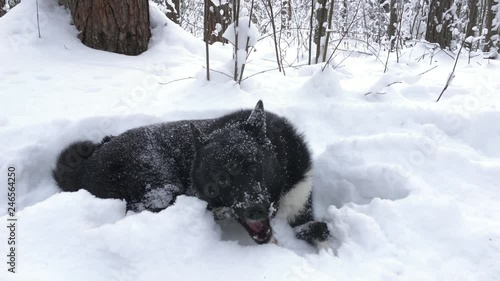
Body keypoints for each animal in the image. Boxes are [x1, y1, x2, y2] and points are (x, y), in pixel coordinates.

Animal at [52, 101, 330, 245]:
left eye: (254, 167)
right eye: (221, 179)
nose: (255, 210)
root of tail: (88, 163)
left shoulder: (299, 201)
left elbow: (316, 228)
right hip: (159, 185)